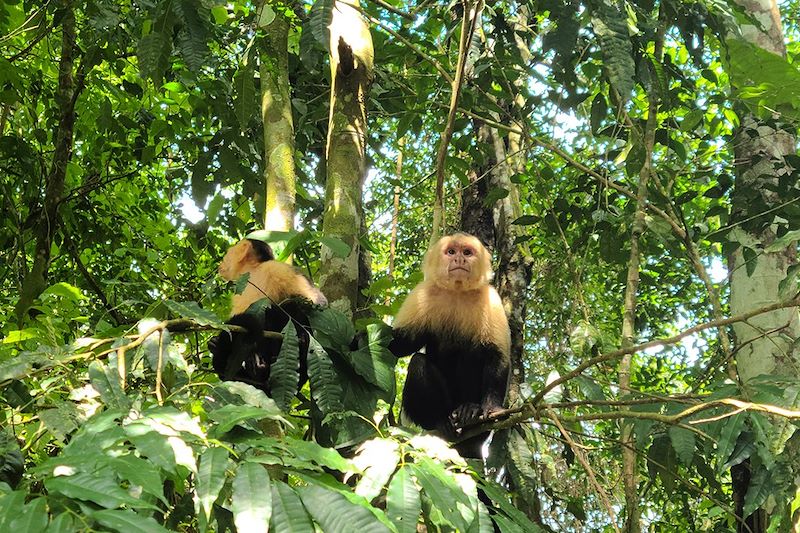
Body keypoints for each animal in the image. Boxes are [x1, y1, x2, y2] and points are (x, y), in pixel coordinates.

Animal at [211, 239, 330, 392]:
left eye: (227, 253)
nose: (221, 263)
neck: (253, 272)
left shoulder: (275, 268)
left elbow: (317, 302)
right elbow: (234, 326)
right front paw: (217, 342)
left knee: (289, 308)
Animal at [390, 233, 512, 458]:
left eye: (467, 252)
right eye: (451, 252)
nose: (459, 259)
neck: (457, 291)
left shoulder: (490, 298)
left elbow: (497, 355)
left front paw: (493, 408)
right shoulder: (421, 294)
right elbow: (401, 345)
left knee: (472, 352)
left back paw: (469, 411)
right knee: (418, 362)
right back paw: (439, 421)